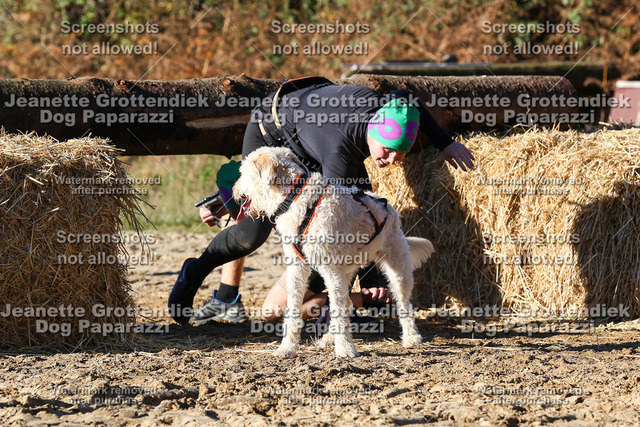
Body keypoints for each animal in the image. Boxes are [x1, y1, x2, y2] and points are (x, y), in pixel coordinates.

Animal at [233, 146, 434, 358]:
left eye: (242, 172)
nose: (234, 191)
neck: (296, 197)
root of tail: (391, 207)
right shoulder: (297, 268)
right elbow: (295, 308)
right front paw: (287, 348)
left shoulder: (330, 269)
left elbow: (337, 309)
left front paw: (345, 348)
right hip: (347, 271)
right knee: (345, 303)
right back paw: (330, 337)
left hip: (397, 267)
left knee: (403, 303)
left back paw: (411, 337)